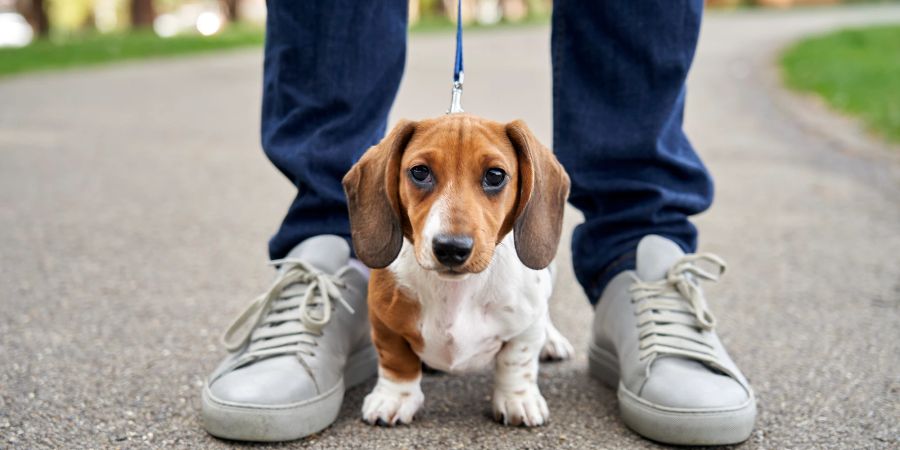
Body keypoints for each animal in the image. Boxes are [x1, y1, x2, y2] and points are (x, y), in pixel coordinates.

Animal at [342, 114, 572, 428]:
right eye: (420, 172)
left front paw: (518, 399)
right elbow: (395, 360)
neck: (456, 291)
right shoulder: (384, 320)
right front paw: (394, 398)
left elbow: (517, 359)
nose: (451, 248)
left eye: (495, 175)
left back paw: (552, 341)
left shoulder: (526, 325)